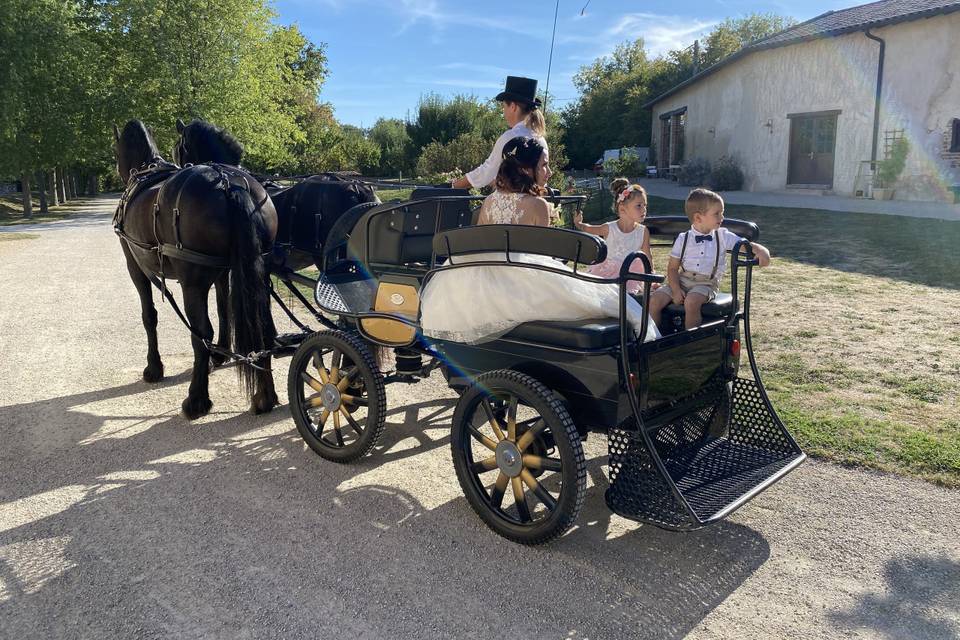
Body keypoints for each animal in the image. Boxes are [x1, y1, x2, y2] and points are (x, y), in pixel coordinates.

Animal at [113, 120, 278, 420]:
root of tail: (228, 182)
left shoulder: (135, 266)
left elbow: (149, 317)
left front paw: (154, 368)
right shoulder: (225, 273)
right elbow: (225, 309)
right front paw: (221, 354)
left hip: (192, 284)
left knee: (200, 335)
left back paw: (196, 399)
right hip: (260, 275)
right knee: (264, 329)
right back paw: (264, 397)